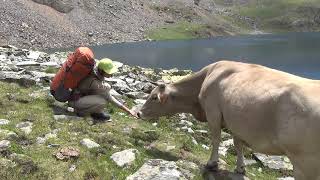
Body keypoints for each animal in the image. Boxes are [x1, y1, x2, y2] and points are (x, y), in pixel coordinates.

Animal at [138, 60, 320, 180]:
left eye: (153, 97)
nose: (138, 113)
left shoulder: (213, 112)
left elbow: (216, 138)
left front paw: (212, 163)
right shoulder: (235, 121)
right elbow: (237, 144)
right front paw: (240, 168)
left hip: (305, 160)